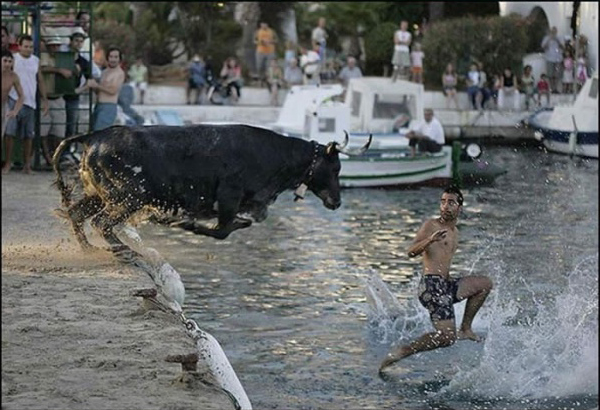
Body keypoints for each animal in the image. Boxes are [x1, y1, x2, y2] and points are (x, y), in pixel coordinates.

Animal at [51, 123, 370, 262]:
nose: (337, 202)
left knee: (76, 214)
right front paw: (183, 223)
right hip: (129, 196)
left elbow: (238, 224)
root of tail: (94, 135)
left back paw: (89, 249)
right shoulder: (229, 198)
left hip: (99, 194)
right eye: (335, 168)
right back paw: (123, 249)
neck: (274, 155)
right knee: (102, 222)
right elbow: (222, 230)